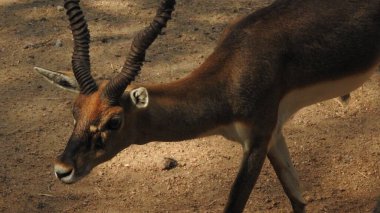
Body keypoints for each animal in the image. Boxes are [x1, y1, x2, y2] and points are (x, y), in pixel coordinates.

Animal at [35, 0, 380, 212]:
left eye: (114, 121)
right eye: (75, 110)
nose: (62, 169)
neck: (231, 75)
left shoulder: (257, 138)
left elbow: (234, 203)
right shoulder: (274, 135)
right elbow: (296, 197)